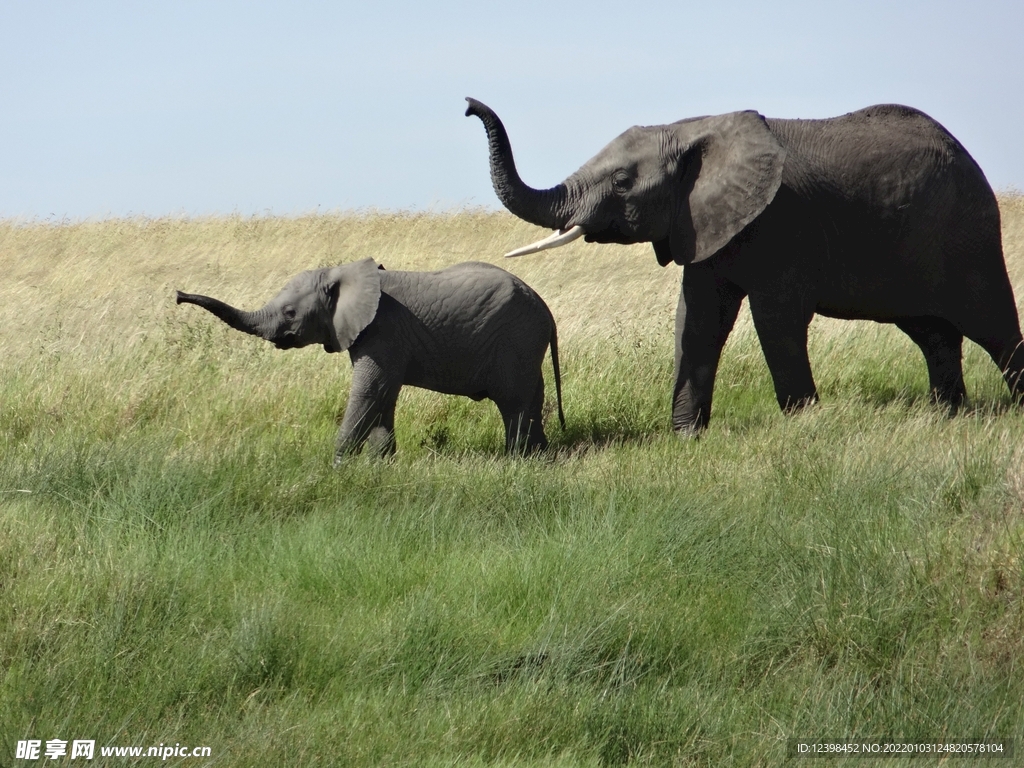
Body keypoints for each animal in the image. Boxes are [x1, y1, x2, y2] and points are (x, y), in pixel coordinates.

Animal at [176, 262, 561, 460]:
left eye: (290, 313)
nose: (178, 295)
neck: (342, 273)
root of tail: (547, 311)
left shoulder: (382, 330)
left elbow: (369, 390)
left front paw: (338, 466)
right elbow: (383, 395)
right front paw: (381, 464)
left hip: (517, 339)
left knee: (513, 401)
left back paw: (518, 460)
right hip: (526, 345)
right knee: (532, 396)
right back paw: (540, 457)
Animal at [466, 97, 1024, 434]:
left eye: (623, 182)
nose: (469, 105)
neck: (692, 129)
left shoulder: (781, 222)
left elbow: (775, 320)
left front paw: (803, 425)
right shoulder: (700, 222)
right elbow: (696, 320)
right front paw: (685, 437)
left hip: (968, 232)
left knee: (991, 324)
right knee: (933, 333)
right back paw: (946, 416)